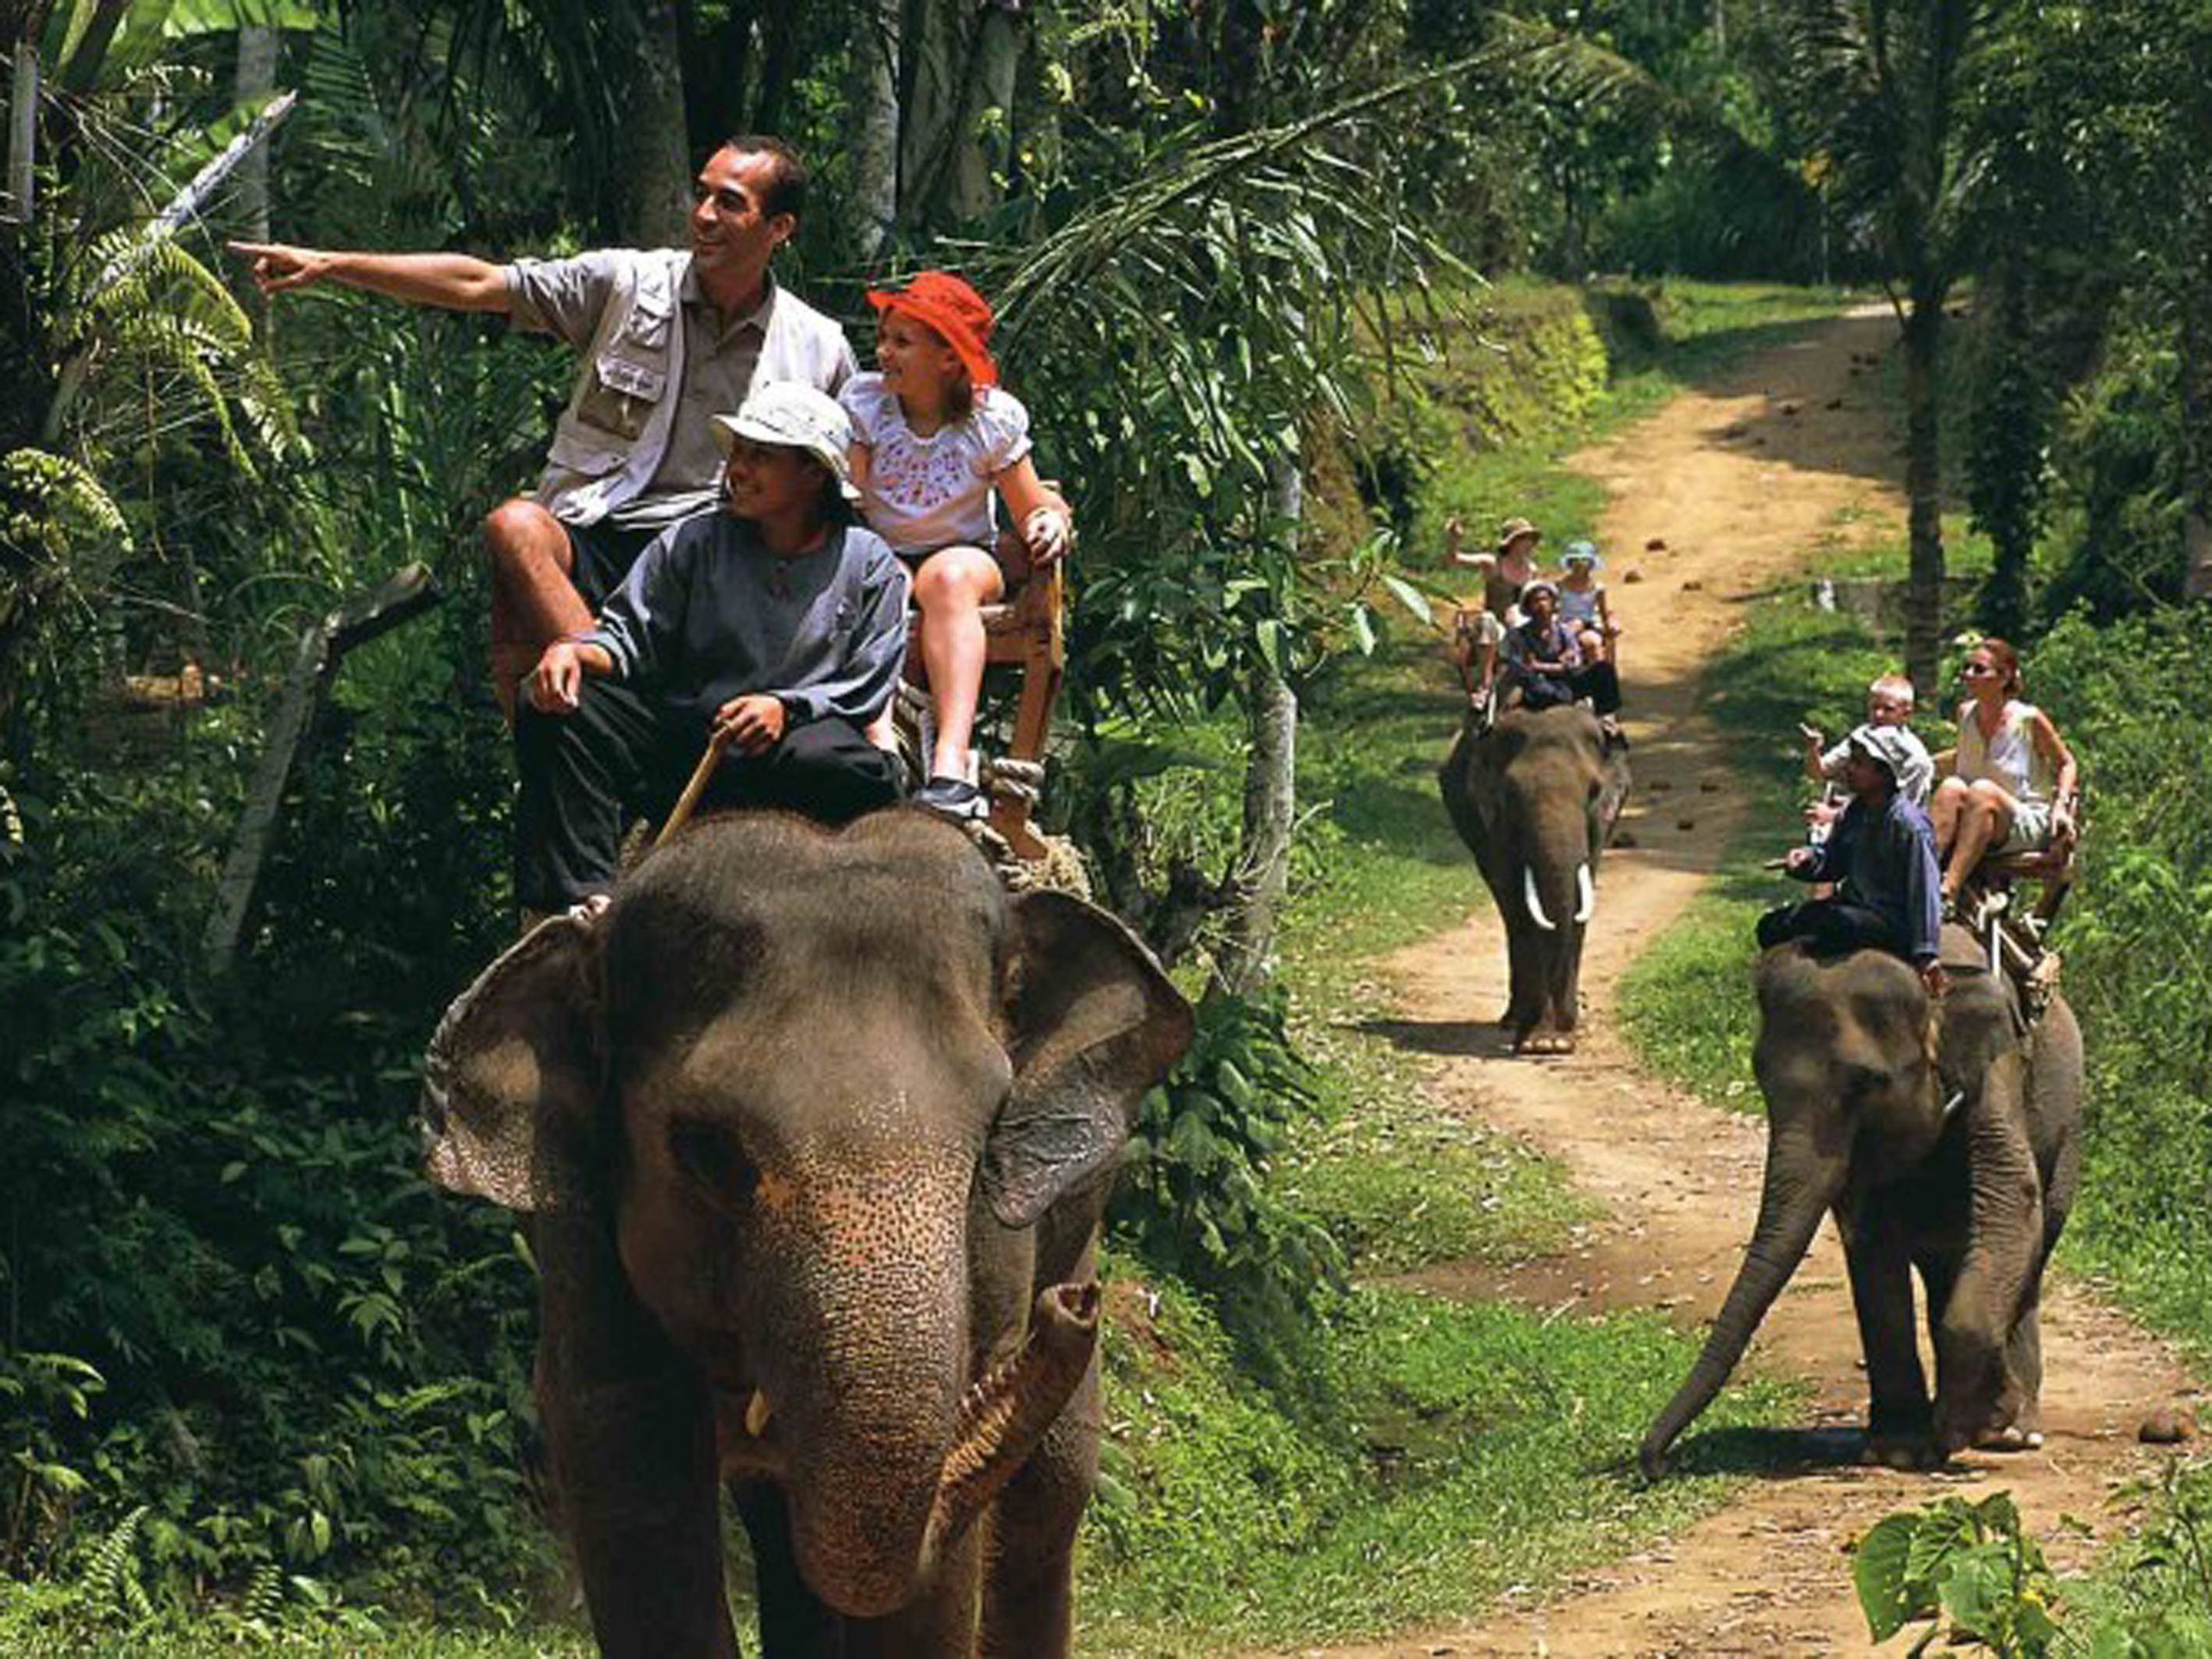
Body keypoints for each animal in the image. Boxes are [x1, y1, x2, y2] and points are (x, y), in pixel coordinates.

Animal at [424, 814, 1203, 1659]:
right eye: (708, 1149)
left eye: (991, 1130)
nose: (1073, 1305)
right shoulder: (578, 1233)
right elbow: (632, 1458)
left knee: (1048, 1500)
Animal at [1442, 703, 1636, 1053]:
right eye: (1510, 794)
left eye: (1594, 791)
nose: (1569, 1020)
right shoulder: (1492, 821)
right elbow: (1519, 900)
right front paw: (1543, 1042)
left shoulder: (1601, 823)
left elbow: (1580, 901)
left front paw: (1556, 1040)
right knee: (1509, 911)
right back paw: (1513, 1020)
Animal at [1636, 924, 2079, 1477]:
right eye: (1761, 1080)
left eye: (1869, 1083)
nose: (1654, 1463)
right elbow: (1869, 1238)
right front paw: (1900, 1451)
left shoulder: (1997, 1065)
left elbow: (2010, 1195)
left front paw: (1973, 1425)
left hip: (2067, 1135)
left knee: (2030, 1248)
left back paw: (2015, 1432)